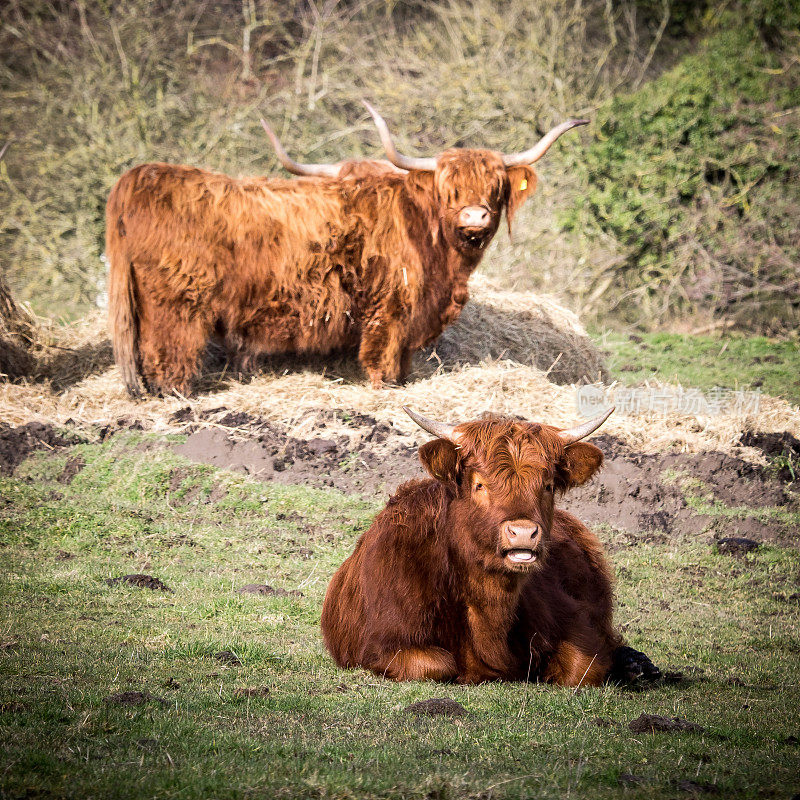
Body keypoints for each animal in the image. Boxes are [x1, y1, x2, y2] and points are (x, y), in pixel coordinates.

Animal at [106, 103, 584, 396]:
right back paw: (178, 396)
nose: (474, 216)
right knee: (168, 353)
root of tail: (144, 175)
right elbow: (382, 358)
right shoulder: (390, 307)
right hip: (176, 303)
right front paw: (383, 389)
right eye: (449, 188)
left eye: (496, 186)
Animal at [320, 410, 664, 684]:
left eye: (548, 485)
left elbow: (582, 667)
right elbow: (435, 664)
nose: (523, 532)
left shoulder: (577, 624)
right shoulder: (381, 646)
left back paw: (639, 666)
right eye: (480, 485)